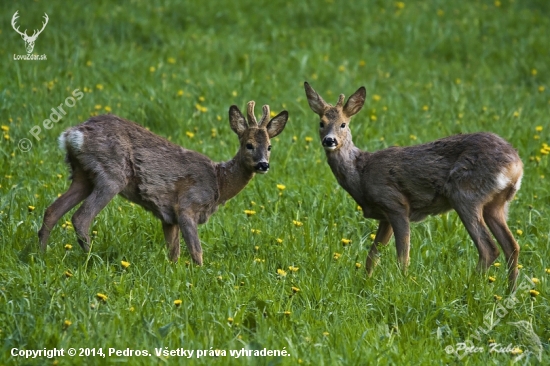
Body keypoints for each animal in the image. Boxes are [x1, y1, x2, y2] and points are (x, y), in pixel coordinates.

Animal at [38, 101, 288, 264]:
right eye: (248, 145)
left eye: (269, 146)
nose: (263, 164)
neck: (219, 181)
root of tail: (72, 135)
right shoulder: (187, 206)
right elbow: (196, 252)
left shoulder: (169, 217)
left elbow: (173, 253)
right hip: (111, 175)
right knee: (81, 217)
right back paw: (91, 259)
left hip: (82, 175)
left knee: (52, 210)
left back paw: (39, 254)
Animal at [306, 81, 528, 290]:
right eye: (321, 123)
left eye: (343, 124)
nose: (329, 140)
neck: (361, 174)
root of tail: (516, 165)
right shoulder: (384, 216)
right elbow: (372, 256)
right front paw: (365, 284)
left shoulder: (395, 204)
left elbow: (402, 256)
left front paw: (401, 284)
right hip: (496, 204)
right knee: (511, 246)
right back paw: (509, 292)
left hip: (465, 194)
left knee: (489, 248)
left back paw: (469, 287)